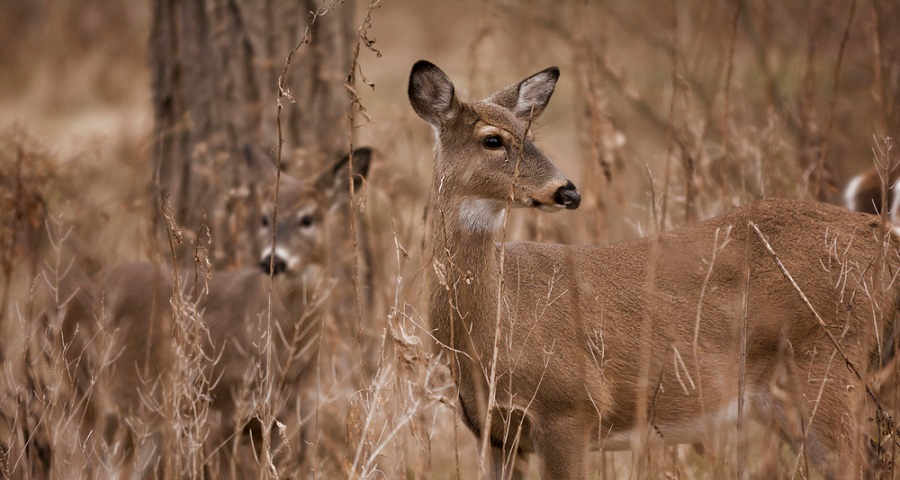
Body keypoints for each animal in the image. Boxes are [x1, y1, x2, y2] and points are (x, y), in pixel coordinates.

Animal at [60, 148, 370, 478]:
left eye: (307, 218)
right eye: (264, 218)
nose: (273, 260)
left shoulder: (292, 414)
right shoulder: (216, 407)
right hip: (92, 391)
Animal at [410, 61, 900, 480]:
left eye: (530, 133)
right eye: (492, 139)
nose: (567, 191)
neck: (493, 324)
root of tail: (884, 239)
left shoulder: (571, 408)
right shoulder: (492, 433)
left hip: (829, 368)